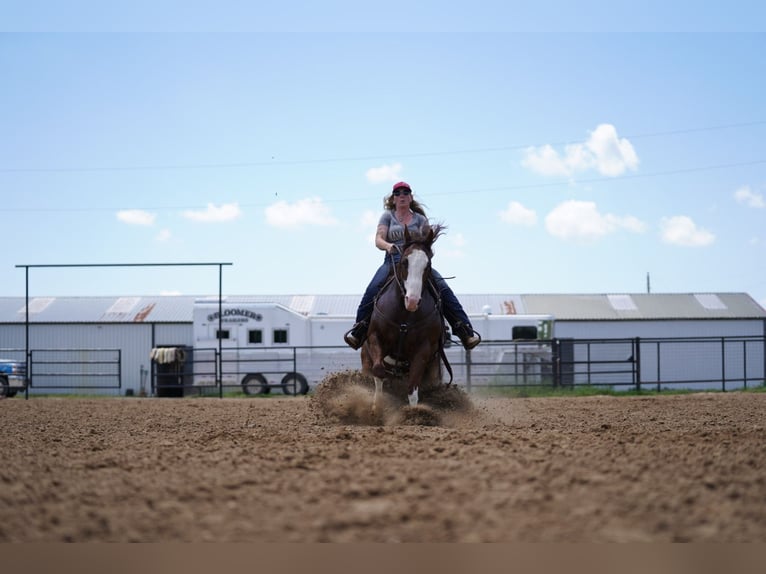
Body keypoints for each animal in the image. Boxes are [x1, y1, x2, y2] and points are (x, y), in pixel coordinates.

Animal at [360, 224, 450, 414]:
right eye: (404, 262)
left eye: (428, 265)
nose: (412, 301)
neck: (404, 316)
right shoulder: (375, 337)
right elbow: (379, 371)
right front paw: (377, 407)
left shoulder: (423, 350)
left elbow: (412, 389)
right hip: (365, 359)